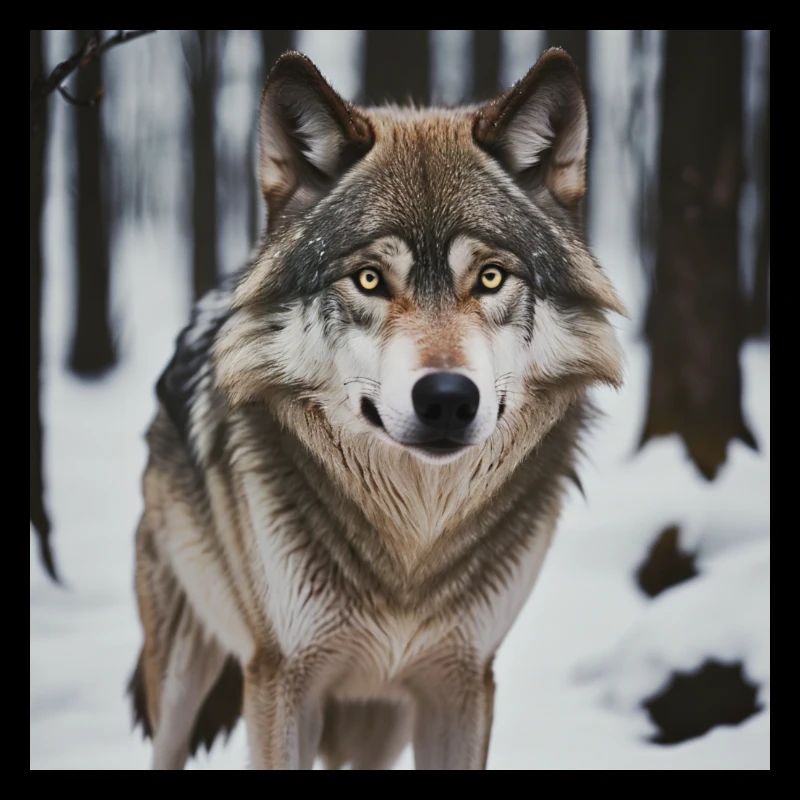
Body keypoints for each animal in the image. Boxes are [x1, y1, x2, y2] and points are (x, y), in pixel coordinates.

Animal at [129, 47, 625, 770]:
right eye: (369, 279)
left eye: (491, 277)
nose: (447, 399)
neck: (410, 546)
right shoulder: (282, 679)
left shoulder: (461, 681)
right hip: (183, 677)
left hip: (377, 723)